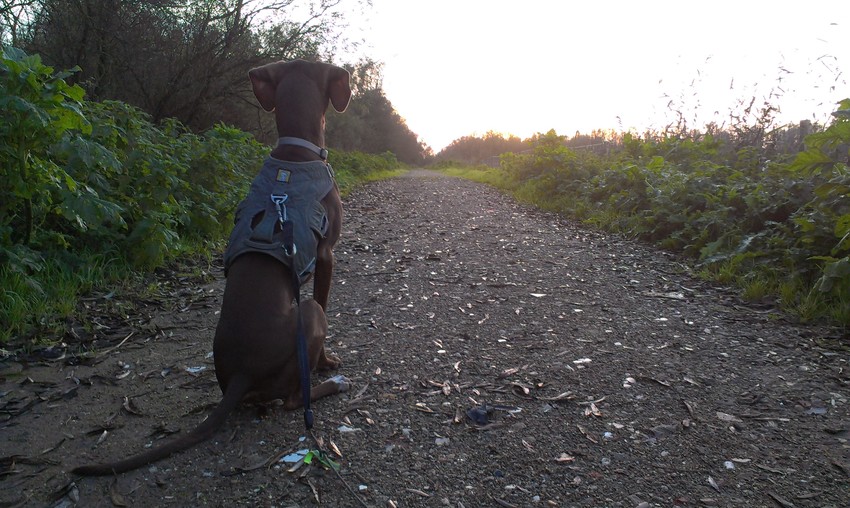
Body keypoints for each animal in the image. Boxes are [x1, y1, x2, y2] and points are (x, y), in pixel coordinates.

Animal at [72, 59, 351, 476]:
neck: (295, 153)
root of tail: (241, 374)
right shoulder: (326, 254)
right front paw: (327, 362)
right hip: (310, 314)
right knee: (291, 401)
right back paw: (333, 384)